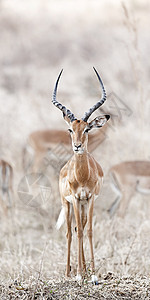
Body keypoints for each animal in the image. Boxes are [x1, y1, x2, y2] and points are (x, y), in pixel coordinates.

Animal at [52, 68, 109, 284]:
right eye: (70, 129)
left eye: (87, 128)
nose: (77, 146)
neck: (83, 176)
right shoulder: (76, 199)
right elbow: (76, 233)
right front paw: (77, 274)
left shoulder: (90, 198)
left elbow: (89, 231)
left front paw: (92, 274)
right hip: (66, 204)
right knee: (70, 231)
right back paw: (69, 272)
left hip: (83, 205)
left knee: (81, 228)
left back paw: (84, 269)